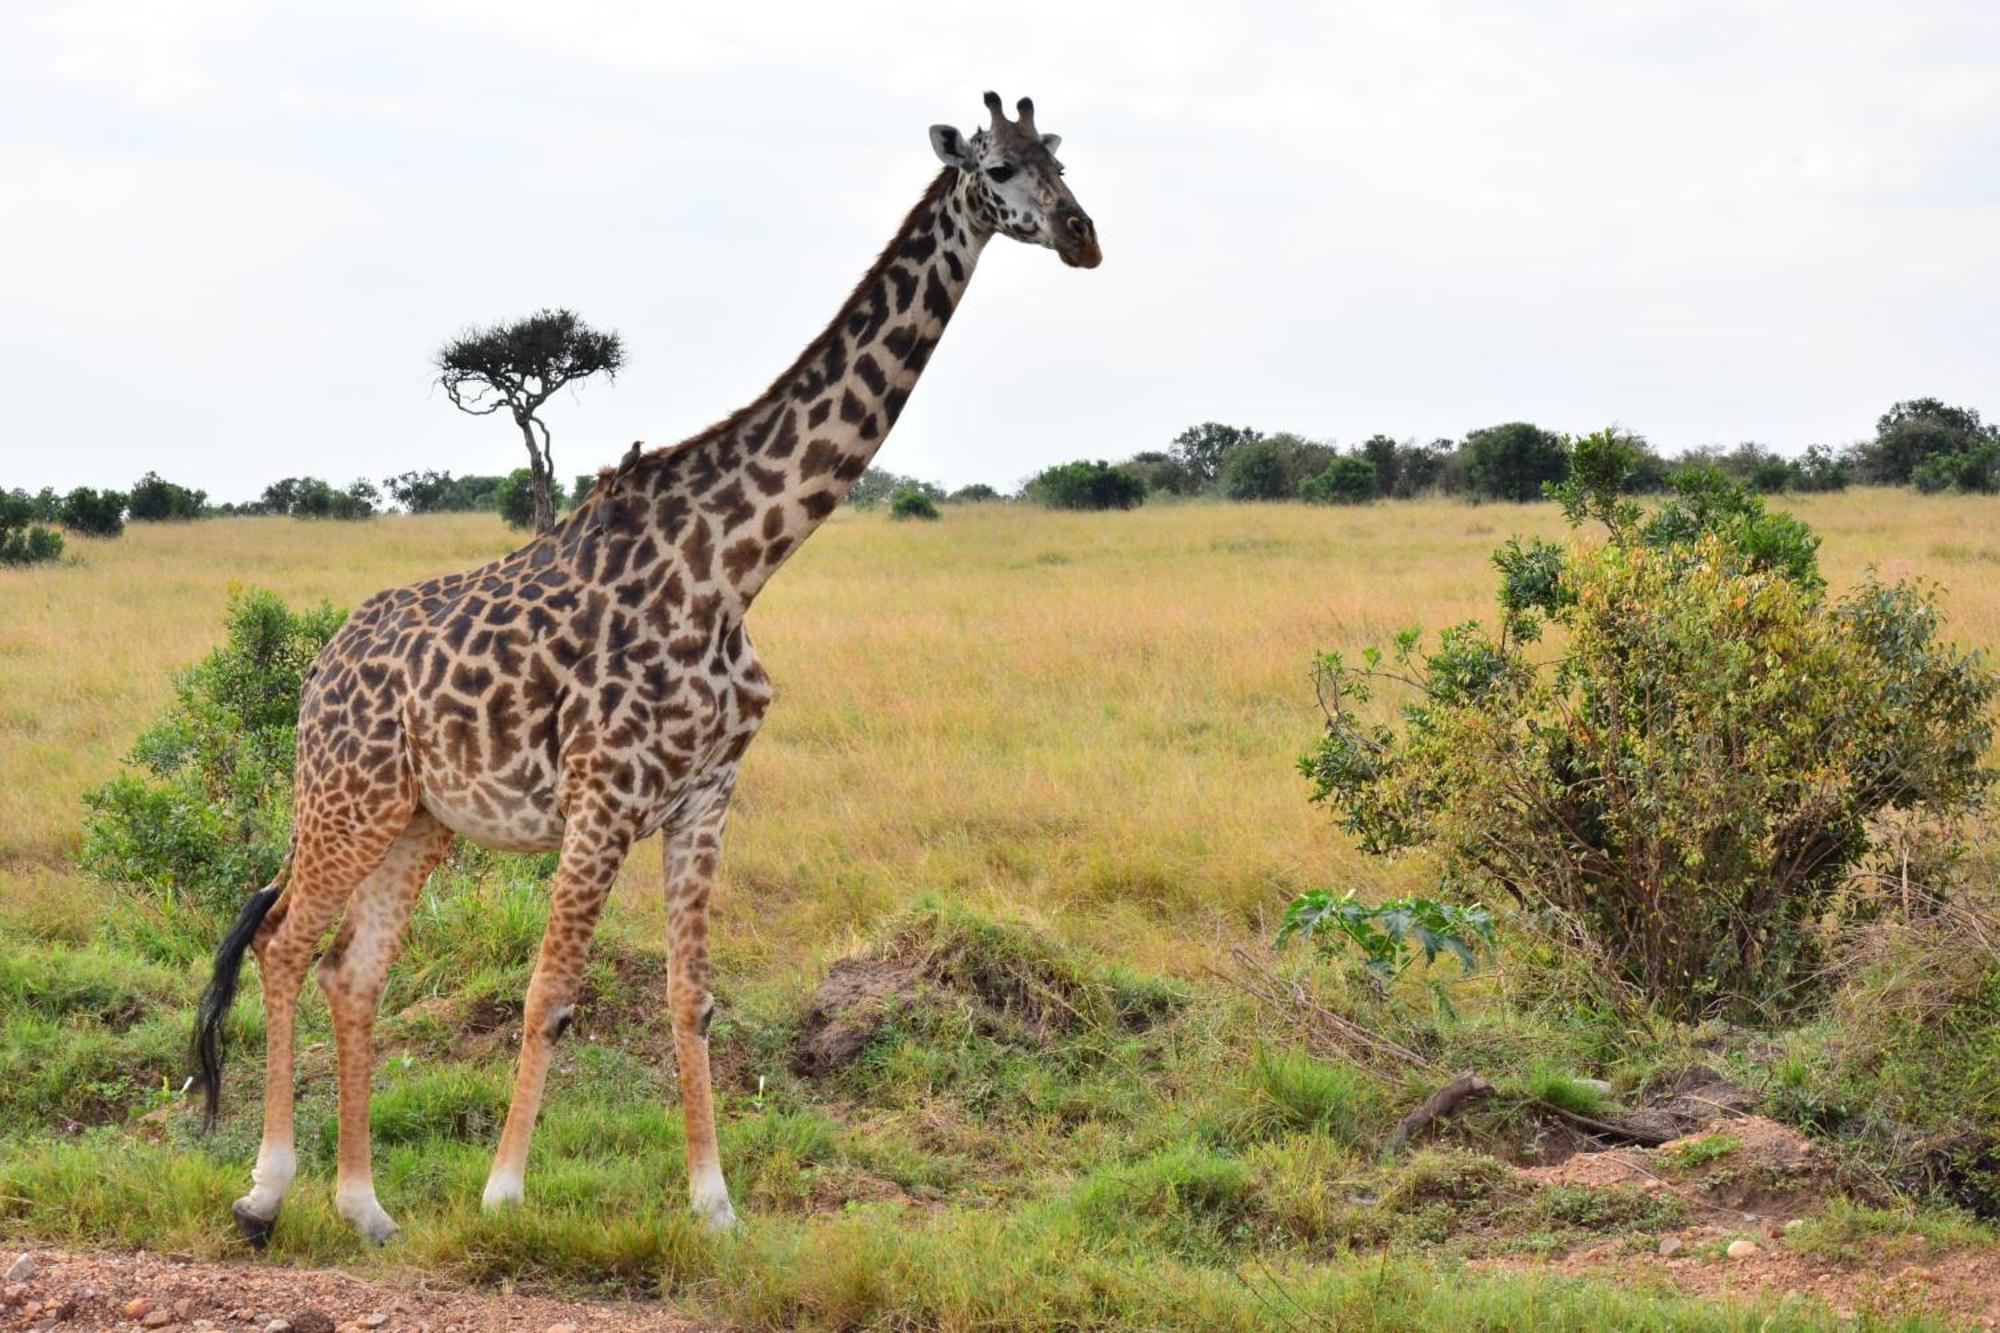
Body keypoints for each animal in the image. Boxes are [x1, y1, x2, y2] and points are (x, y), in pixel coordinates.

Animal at [195, 96, 1104, 1248]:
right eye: (998, 167)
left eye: (1060, 162)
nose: (1082, 234)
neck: (734, 565)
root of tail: (320, 667)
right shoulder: (601, 797)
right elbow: (550, 992)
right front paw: (503, 1193)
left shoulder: (705, 793)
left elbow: (690, 997)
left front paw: (714, 1204)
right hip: (343, 795)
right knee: (280, 941)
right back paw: (266, 1190)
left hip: (418, 818)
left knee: (351, 970)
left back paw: (365, 1206)